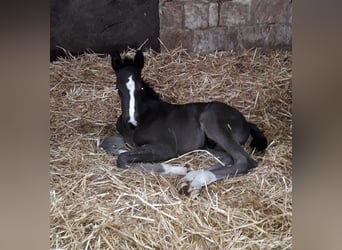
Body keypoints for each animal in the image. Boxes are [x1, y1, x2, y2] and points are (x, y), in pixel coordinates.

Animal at [99, 49, 268, 192]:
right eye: (117, 88)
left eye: (140, 88)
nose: (131, 121)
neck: (142, 118)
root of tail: (246, 121)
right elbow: (104, 143)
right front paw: (123, 149)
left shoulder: (166, 147)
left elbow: (122, 159)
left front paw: (176, 169)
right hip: (207, 145)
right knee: (227, 157)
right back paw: (190, 178)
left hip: (211, 120)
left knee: (244, 160)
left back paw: (194, 181)